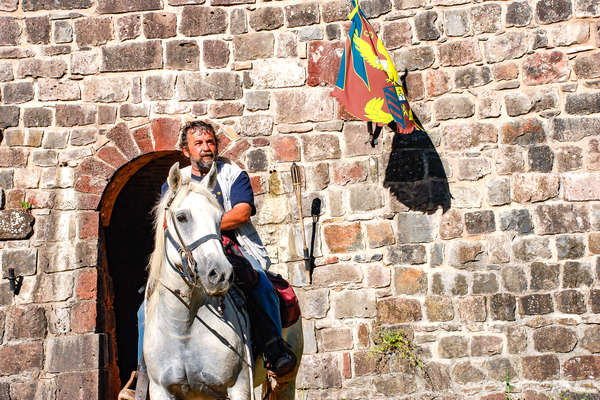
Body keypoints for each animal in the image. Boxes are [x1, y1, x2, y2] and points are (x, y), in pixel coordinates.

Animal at [143, 163, 302, 400]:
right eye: (181, 217)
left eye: (219, 218)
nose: (219, 274)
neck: (184, 327)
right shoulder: (161, 390)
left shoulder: (239, 386)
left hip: (287, 380)